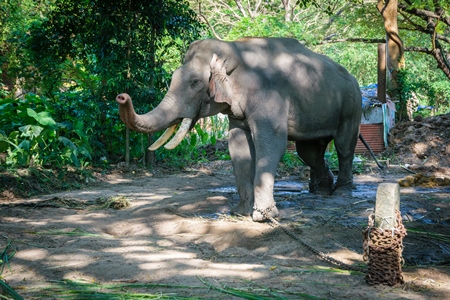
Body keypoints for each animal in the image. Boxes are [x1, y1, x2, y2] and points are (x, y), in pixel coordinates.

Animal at [116, 37, 362, 221]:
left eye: (195, 83)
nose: (121, 96)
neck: (234, 48)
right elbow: (238, 146)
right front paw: (241, 213)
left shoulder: (270, 95)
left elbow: (272, 145)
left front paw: (263, 216)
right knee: (309, 151)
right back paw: (322, 190)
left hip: (352, 104)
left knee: (344, 146)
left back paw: (341, 194)